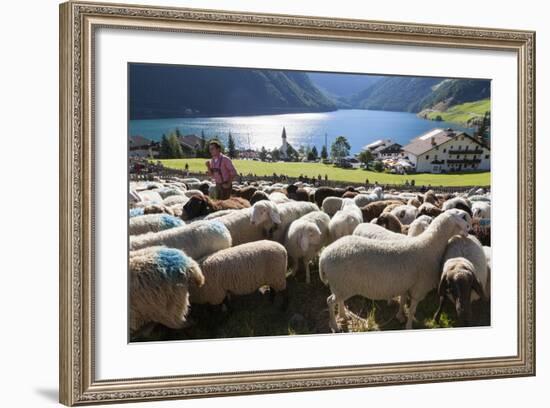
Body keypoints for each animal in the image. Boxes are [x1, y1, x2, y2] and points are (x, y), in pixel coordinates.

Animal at [320, 209, 474, 330]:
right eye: (464, 218)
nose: (469, 231)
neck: (429, 246)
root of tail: (324, 256)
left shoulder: (405, 284)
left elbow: (402, 301)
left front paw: (400, 316)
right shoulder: (419, 288)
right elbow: (412, 310)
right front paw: (409, 326)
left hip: (340, 285)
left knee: (338, 300)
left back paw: (343, 316)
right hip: (342, 284)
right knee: (330, 301)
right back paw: (335, 325)